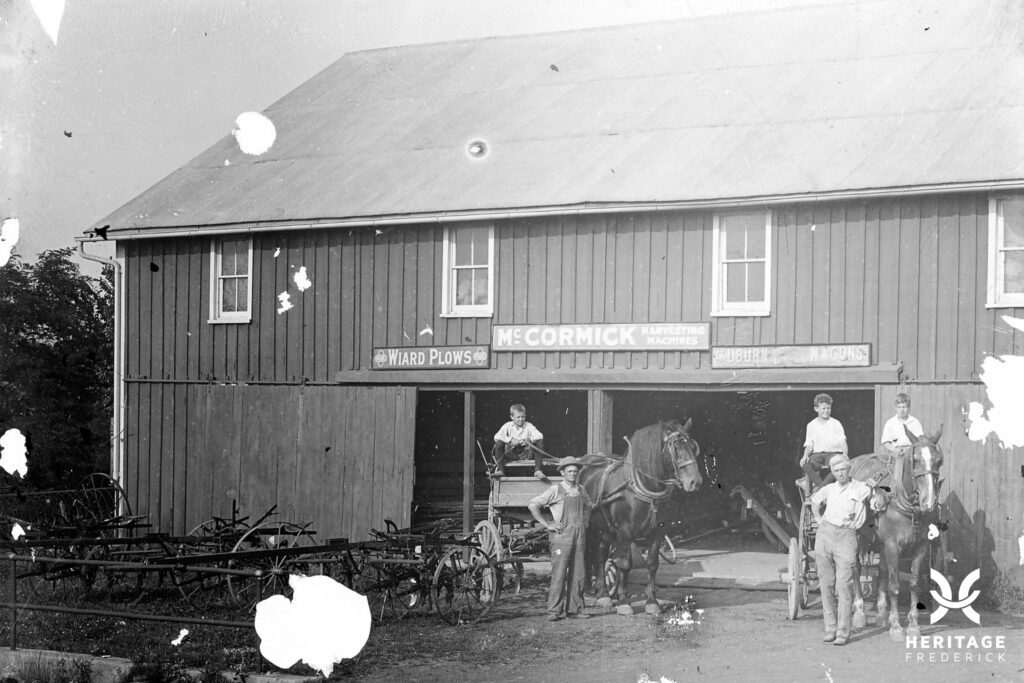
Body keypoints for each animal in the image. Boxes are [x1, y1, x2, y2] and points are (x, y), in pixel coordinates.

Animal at [578, 418, 702, 616]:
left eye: (692, 446)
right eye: (676, 448)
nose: (695, 482)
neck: (641, 486)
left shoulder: (659, 530)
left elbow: (652, 563)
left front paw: (651, 601)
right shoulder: (625, 531)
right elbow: (624, 564)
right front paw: (624, 602)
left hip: (607, 529)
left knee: (601, 554)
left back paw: (603, 594)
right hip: (588, 527)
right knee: (587, 555)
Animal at [849, 425, 944, 641]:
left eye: (938, 460)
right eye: (915, 459)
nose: (929, 502)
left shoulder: (920, 547)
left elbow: (914, 585)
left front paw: (913, 626)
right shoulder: (893, 546)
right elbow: (895, 586)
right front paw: (897, 628)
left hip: (881, 544)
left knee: (882, 571)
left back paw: (882, 614)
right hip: (857, 537)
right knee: (856, 569)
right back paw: (859, 612)